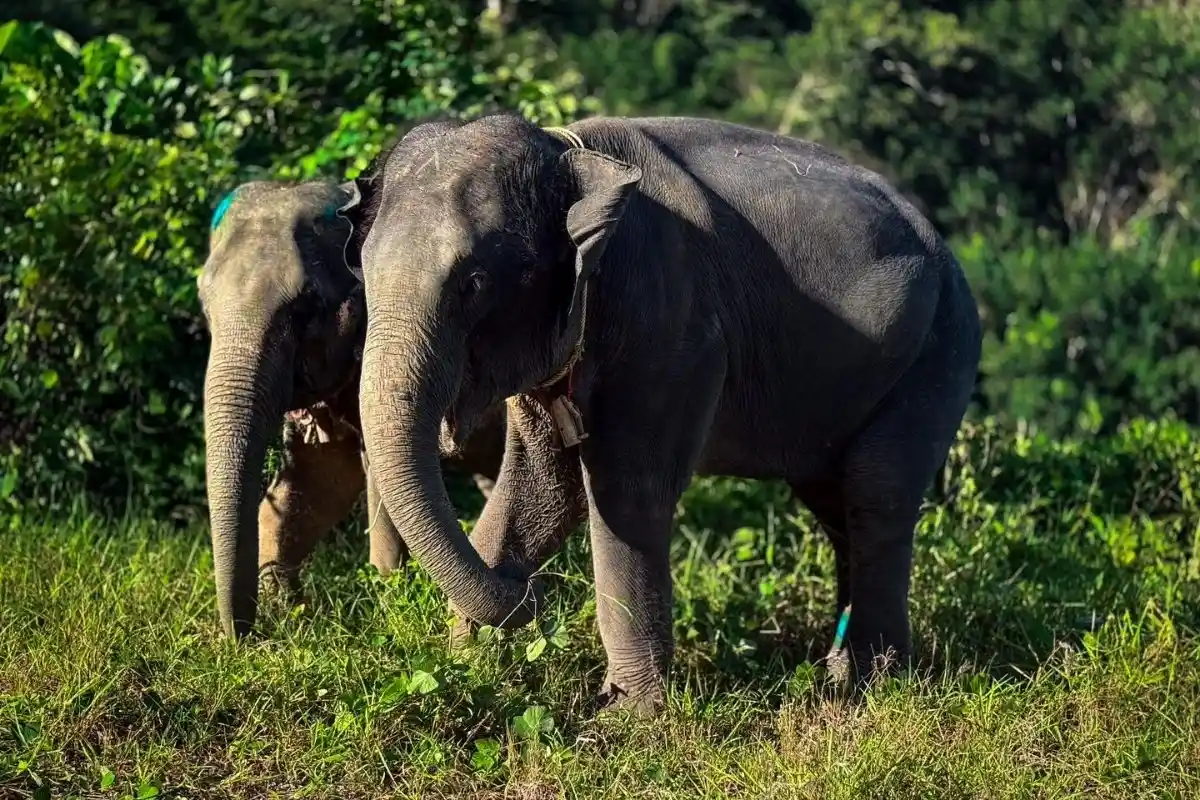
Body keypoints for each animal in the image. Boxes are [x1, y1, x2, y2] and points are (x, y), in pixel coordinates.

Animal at [197, 179, 506, 639]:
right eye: (203, 302)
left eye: (305, 305)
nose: (243, 640)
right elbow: (319, 477)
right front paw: (289, 608)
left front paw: (388, 596)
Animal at [337, 113, 982, 714]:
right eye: (362, 273)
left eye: (473, 281)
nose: (535, 600)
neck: (569, 154)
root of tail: (947, 250)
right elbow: (545, 491)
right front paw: (466, 669)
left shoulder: (673, 333)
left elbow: (628, 494)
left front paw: (629, 716)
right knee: (836, 504)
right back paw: (842, 675)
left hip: (938, 354)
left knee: (878, 495)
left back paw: (876, 686)